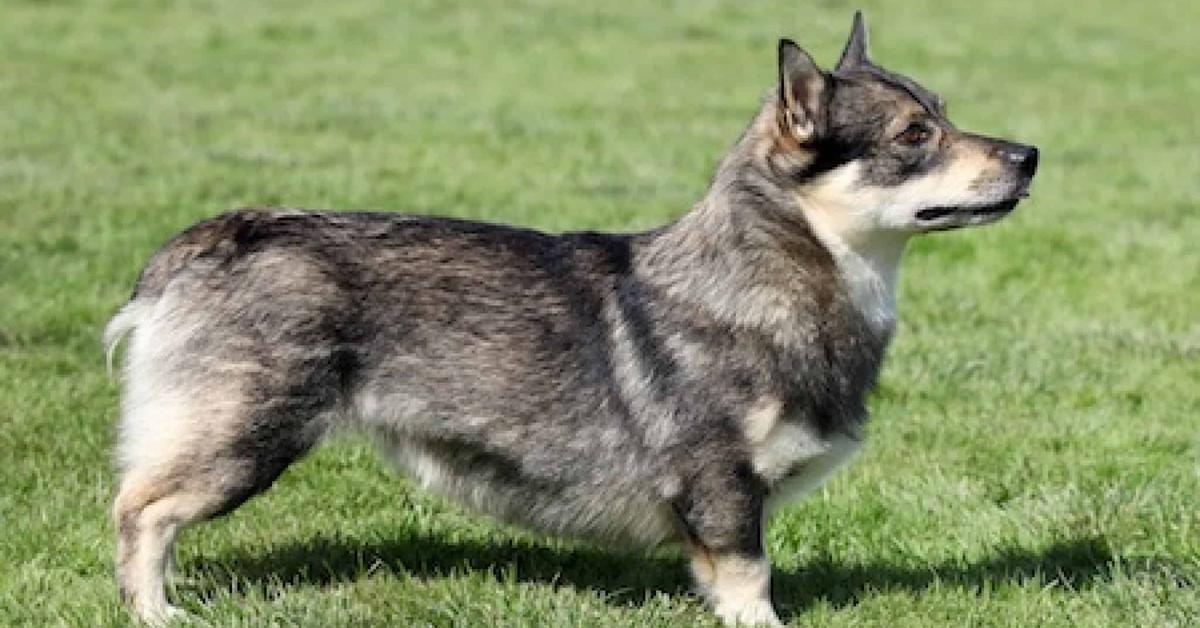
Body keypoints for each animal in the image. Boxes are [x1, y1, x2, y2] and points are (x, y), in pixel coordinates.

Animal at [108, 12, 1036, 624]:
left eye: (943, 113)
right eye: (914, 135)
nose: (1031, 155)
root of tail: (210, 239)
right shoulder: (724, 491)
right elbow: (752, 586)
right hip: (246, 436)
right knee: (140, 511)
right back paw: (157, 613)